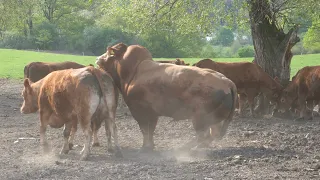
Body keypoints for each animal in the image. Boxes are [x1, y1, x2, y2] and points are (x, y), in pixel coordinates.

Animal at [95, 43, 238, 153]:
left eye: (109, 52)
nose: (98, 58)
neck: (134, 73)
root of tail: (227, 82)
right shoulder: (153, 114)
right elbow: (151, 129)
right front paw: (150, 146)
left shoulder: (140, 111)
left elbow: (145, 130)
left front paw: (144, 147)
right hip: (212, 120)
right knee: (210, 135)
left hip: (200, 118)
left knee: (204, 135)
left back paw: (185, 148)